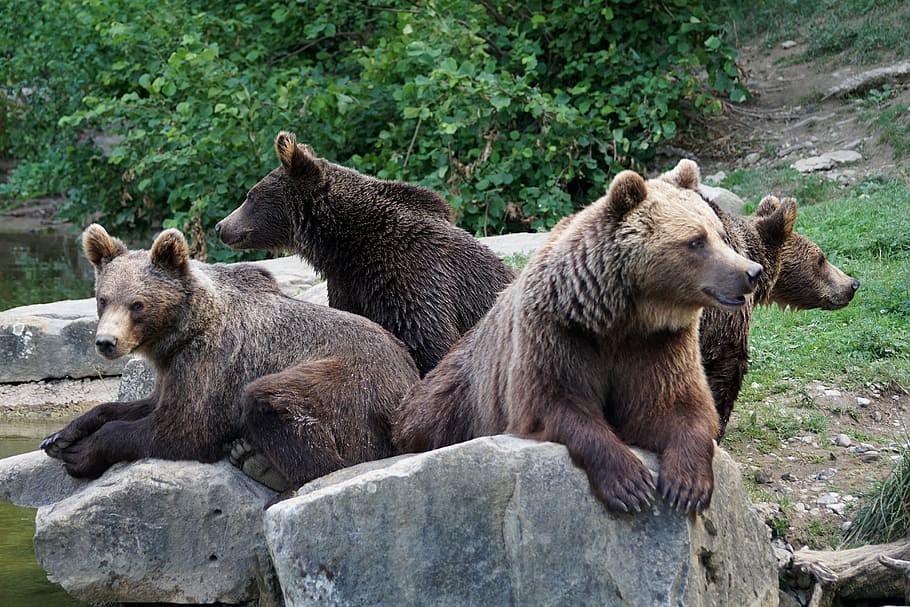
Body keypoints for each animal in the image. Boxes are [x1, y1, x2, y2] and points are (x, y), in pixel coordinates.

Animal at [41, 224, 419, 494]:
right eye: (103, 299)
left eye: (137, 304)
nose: (106, 342)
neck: (180, 332)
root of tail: (408, 379)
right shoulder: (173, 369)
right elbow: (139, 405)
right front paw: (60, 437)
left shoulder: (211, 364)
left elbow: (181, 429)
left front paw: (82, 453)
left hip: (351, 386)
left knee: (276, 401)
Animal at [215, 131, 516, 377]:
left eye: (250, 195)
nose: (221, 226)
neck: (347, 245)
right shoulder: (349, 285)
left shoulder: (413, 276)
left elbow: (428, 341)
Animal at [394, 164, 763, 514]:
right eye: (696, 241)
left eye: (720, 235)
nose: (751, 272)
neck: (620, 317)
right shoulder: (556, 333)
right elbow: (558, 403)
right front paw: (630, 484)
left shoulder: (660, 344)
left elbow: (674, 405)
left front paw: (686, 486)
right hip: (450, 402)